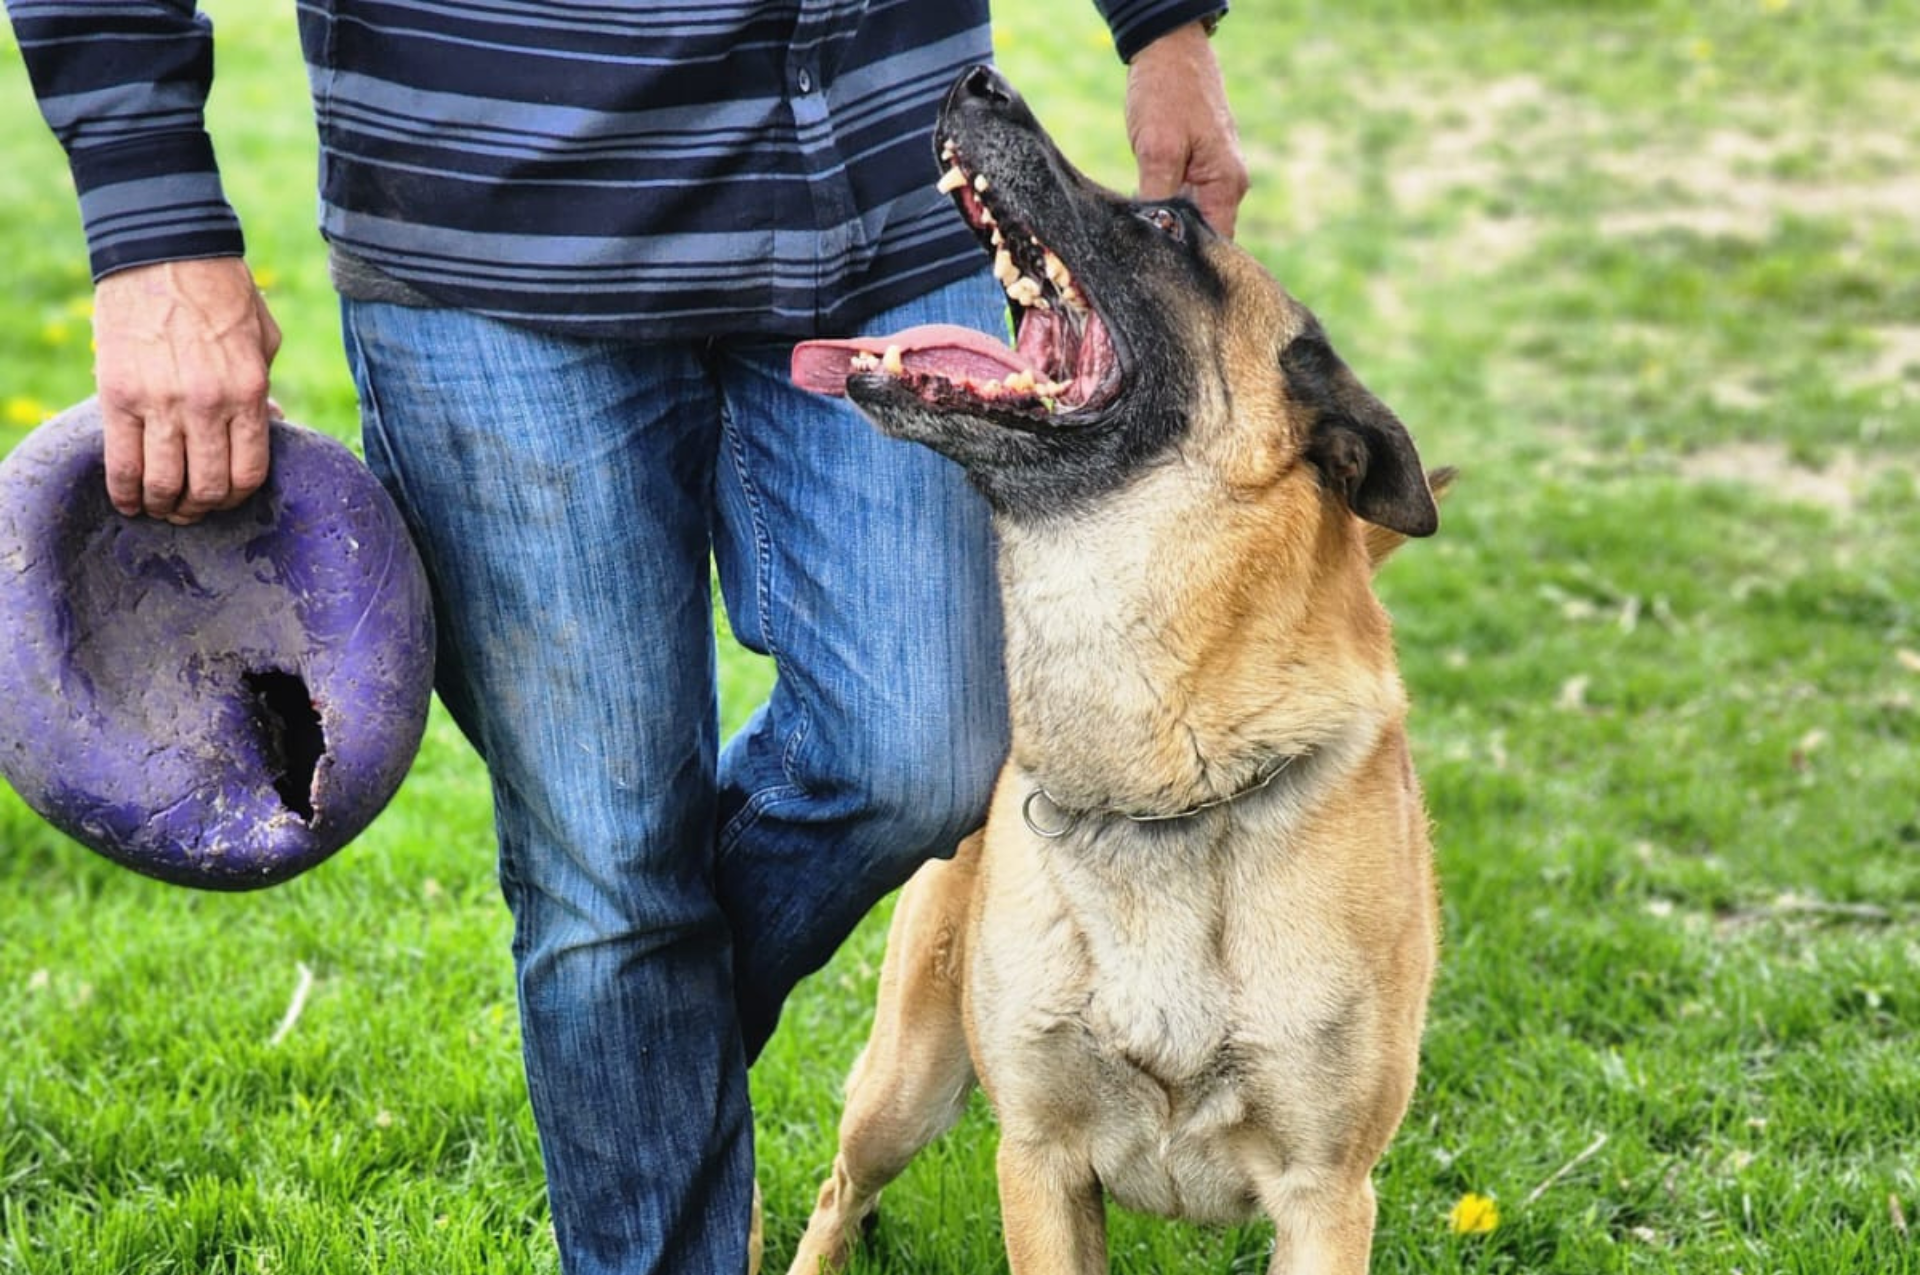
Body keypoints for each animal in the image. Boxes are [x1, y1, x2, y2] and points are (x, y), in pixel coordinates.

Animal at [787, 62, 1443, 1275]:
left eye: (1168, 222)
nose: (977, 79)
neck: (1165, 780)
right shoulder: (1039, 1162)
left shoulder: (1328, 1197)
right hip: (906, 1084)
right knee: (838, 1186)